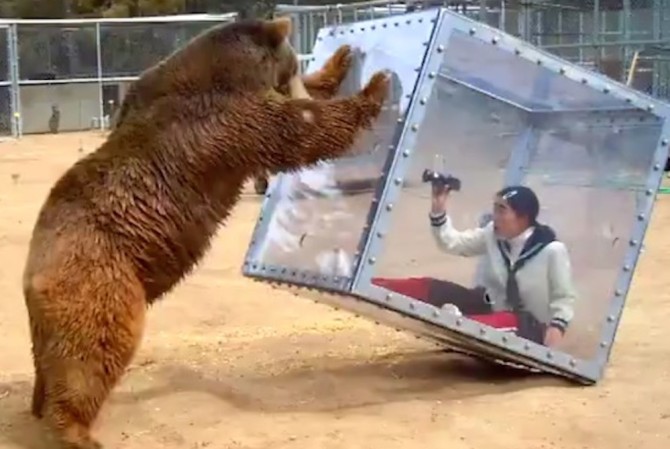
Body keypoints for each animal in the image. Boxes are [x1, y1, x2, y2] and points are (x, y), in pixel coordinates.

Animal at [23, 14, 388, 448]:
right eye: (288, 65)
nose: (296, 74)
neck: (228, 67)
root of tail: (31, 276)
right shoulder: (231, 121)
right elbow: (301, 129)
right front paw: (376, 85)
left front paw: (340, 60)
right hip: (100, 281)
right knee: (93, 351)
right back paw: (76, 430)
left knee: (52, 359)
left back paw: (40, 405)